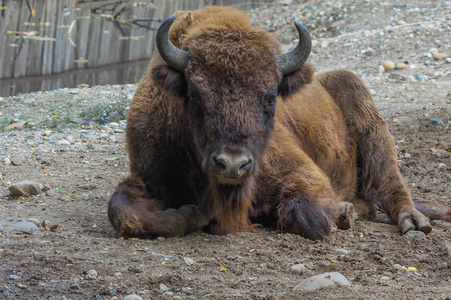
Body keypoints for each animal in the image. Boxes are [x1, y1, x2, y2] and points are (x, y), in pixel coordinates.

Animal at [107, 5, 450, 240]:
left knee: (390, 184)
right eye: (194, 94)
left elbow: (307, 214)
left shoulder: (303, 173)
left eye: (271, 97)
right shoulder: (147, 176)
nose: (232, 164)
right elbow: (122, 210)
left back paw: (410, 221)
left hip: (368, 117)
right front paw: (192, 214)